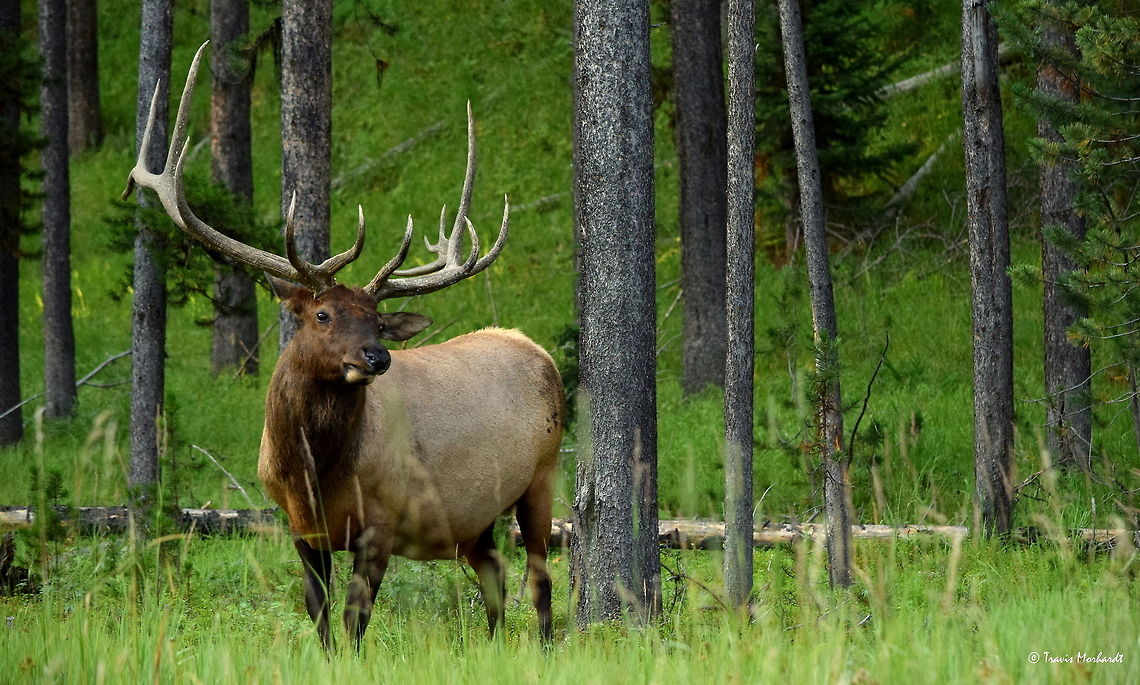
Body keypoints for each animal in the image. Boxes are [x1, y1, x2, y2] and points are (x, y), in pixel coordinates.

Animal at [123, 42, 562, 648]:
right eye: (322, 314)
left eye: (376, 320)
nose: (378, 356)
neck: (311, 474)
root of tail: (538, 351)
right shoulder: (299, 529)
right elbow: (320, 616)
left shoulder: (381, 523)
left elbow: (356, 621)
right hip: (472, 517)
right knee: (492, 572)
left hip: (542, 474)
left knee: (540, 579)